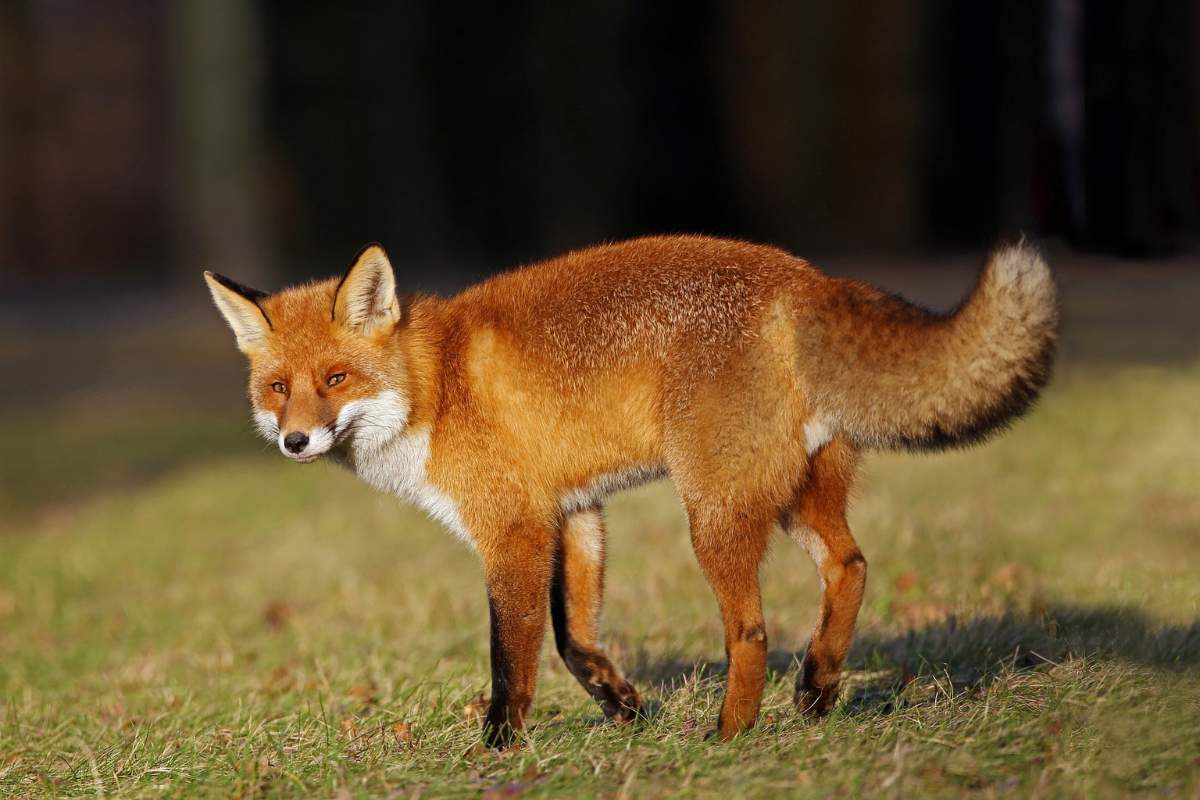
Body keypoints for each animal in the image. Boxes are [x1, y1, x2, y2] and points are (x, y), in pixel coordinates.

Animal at [206, 235, 1060, 748]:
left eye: (335, 380)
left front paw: (498, 750)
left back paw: (729, 738)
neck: (436, 388)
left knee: (751, 632)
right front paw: (625, 708)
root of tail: (803, 277)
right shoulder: (575, 512)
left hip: (713, 512)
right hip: (791, 496)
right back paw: (816, 690)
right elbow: (575, 639)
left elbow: (510, 658)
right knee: (850, 567)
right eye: (279, 388)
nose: (294, 441)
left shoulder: (513, 529)